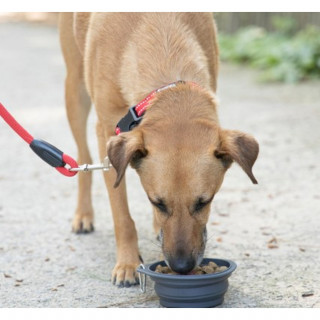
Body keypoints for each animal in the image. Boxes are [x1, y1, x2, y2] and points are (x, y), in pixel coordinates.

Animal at [59, 12, 260, 288]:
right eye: (157, 202)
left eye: (204, 202)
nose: (182, 267)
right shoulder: (107, 133)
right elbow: (122, 215)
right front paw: (128, 264)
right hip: (75, 90)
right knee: (83, 157)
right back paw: (83, 215)